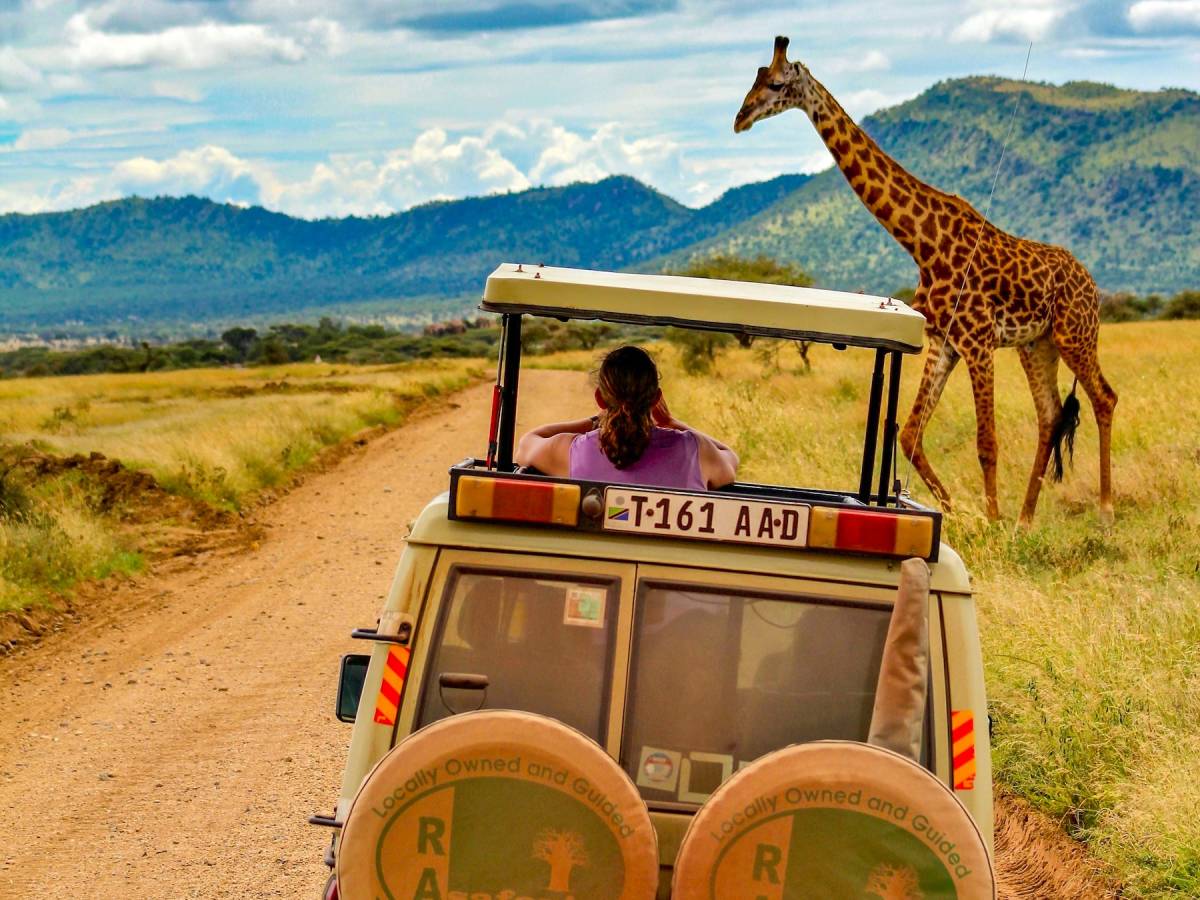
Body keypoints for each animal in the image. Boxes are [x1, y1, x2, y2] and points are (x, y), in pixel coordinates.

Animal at [734, 36, 1117, 525]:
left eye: (777, 84)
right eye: (756, 77)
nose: (740, 118)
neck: (923, 245)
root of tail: (1090, 281)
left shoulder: (978, 342)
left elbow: (986, 443)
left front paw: (989, 522)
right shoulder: (944, 342)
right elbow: (911, 435)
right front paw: (957, 513)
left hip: (1075, 334)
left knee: (1104, 398)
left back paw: (1103, 511)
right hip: (1038, 345)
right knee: (1049, 415)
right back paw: (1025, 519)